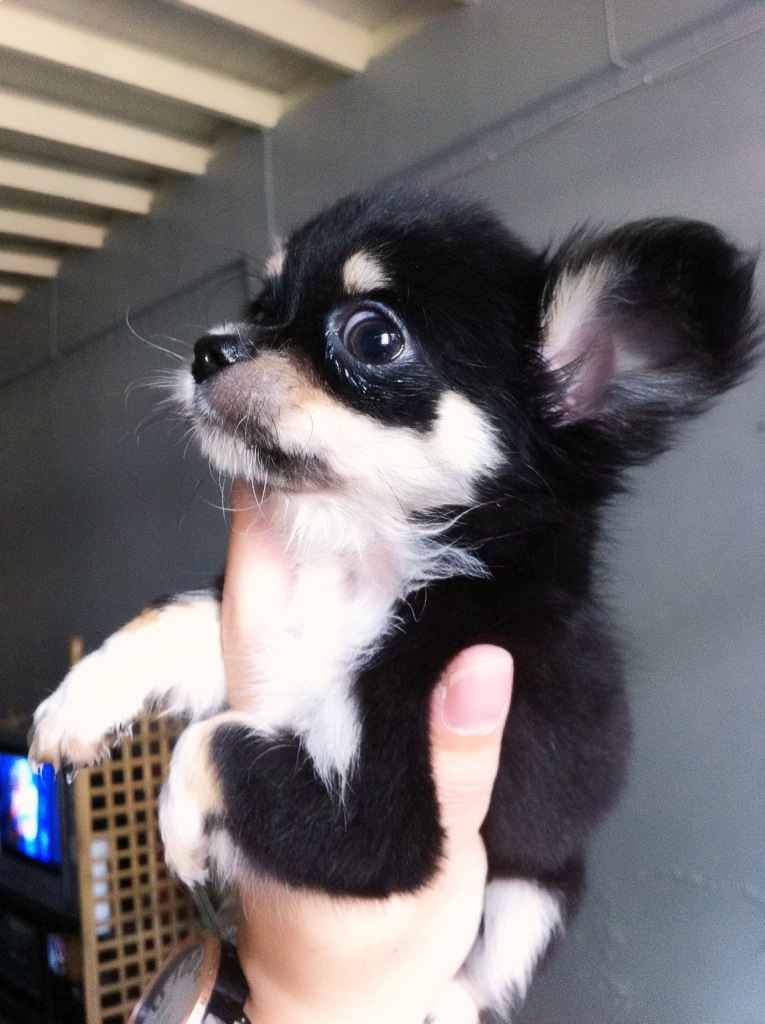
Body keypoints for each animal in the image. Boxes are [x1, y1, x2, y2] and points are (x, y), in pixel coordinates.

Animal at [29, 188, 758, 1022]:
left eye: (373, 337)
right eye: (262, 305)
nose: (209, 348)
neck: (356, 557)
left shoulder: (389, 831)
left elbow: (210, 746)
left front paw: (178, 833)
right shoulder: (263, 639)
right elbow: (172, 621)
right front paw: (81, 702)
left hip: (530, 897)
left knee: (479, 981)